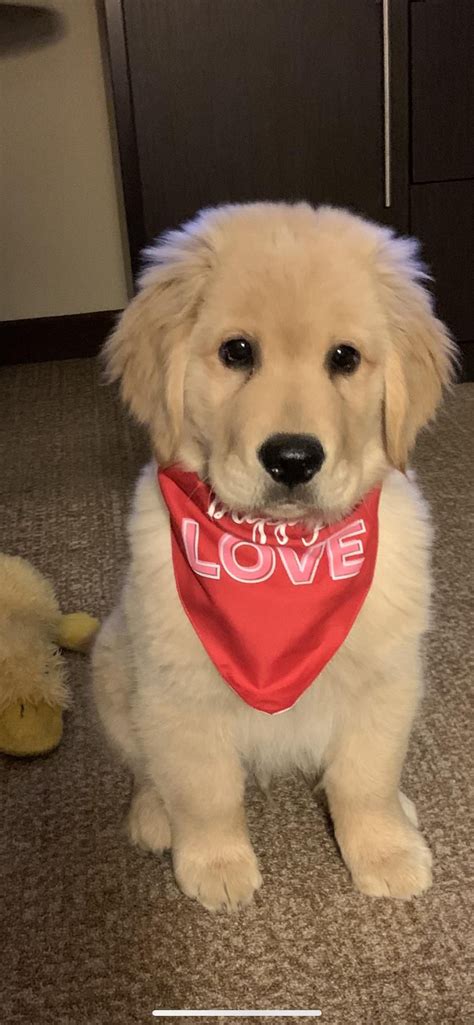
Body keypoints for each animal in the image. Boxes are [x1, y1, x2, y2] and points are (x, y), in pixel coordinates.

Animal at [91, 201, 451, 914]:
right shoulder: (180, 689)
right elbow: (203, 790)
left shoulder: (386, 678)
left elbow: (365, 778)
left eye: (344, 358)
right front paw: (214, 862)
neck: (283, 555)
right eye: (237, 352)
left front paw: (384, 850)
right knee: (144, 765)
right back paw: (152, 816)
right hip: (114, 662)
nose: (292, 458)